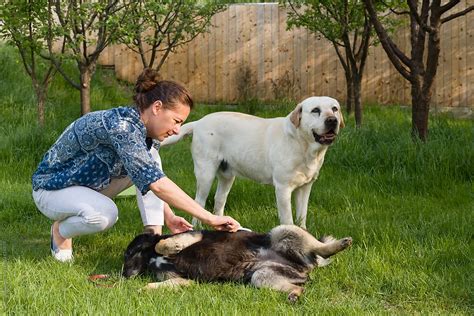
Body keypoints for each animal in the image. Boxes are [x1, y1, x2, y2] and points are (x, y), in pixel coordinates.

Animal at [123, 225, 352, 302]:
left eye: (128, 254)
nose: (123, 277)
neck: (150, 258)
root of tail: (302, 266)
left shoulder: (195, 235)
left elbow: (163, 243)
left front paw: (172, 247)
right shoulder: (184, 281)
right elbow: (156, 284)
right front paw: (144, 289)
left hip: (282, 231)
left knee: (319, 246)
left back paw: (340, 244)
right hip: (261, 277)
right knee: (298, 288)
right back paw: (294, 296)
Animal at [162, 96, 344, 227]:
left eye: (334, 109)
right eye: (315, 110)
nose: (332, 120)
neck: (303, 145)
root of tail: (199, 122)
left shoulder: (305, 187)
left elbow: (302, 217)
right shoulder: (283, 188)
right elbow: (288, 220)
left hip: (227, 176)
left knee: (219, 200)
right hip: (205, 174)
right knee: (198, 202)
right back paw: (199, 227)